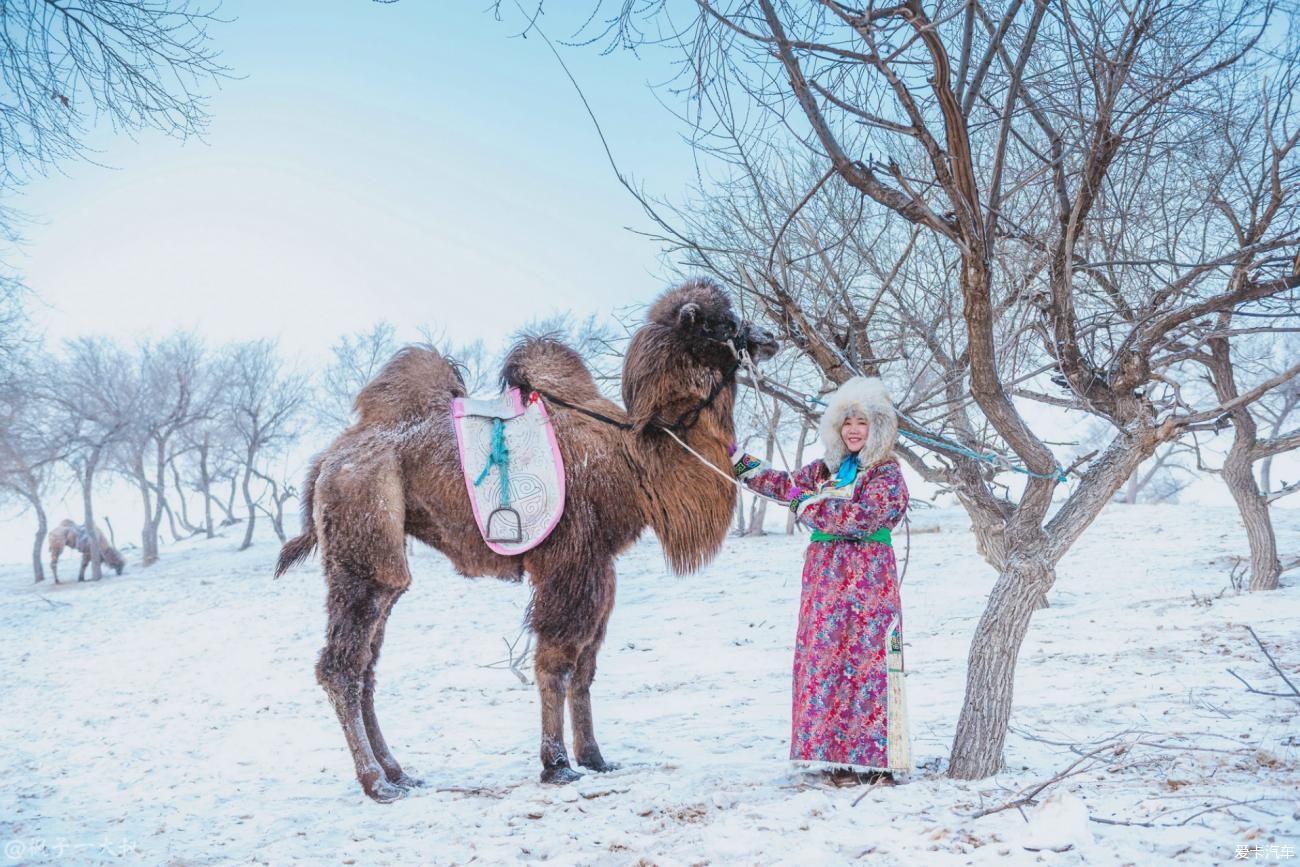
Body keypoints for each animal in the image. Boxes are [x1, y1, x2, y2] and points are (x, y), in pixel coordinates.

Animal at [275, 282, 774, 805]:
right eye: (720, 325)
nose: (769, 338)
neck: (630, 459)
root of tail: (328, 459)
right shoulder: (569, 561)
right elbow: (556, 662)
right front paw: (557, 765)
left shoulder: (601, 567)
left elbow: (587, 665)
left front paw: (596, 758)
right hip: (363, 537)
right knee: (342, 664)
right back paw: (376, 782)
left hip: (377, 557)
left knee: (368, 664)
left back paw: (399, 772)